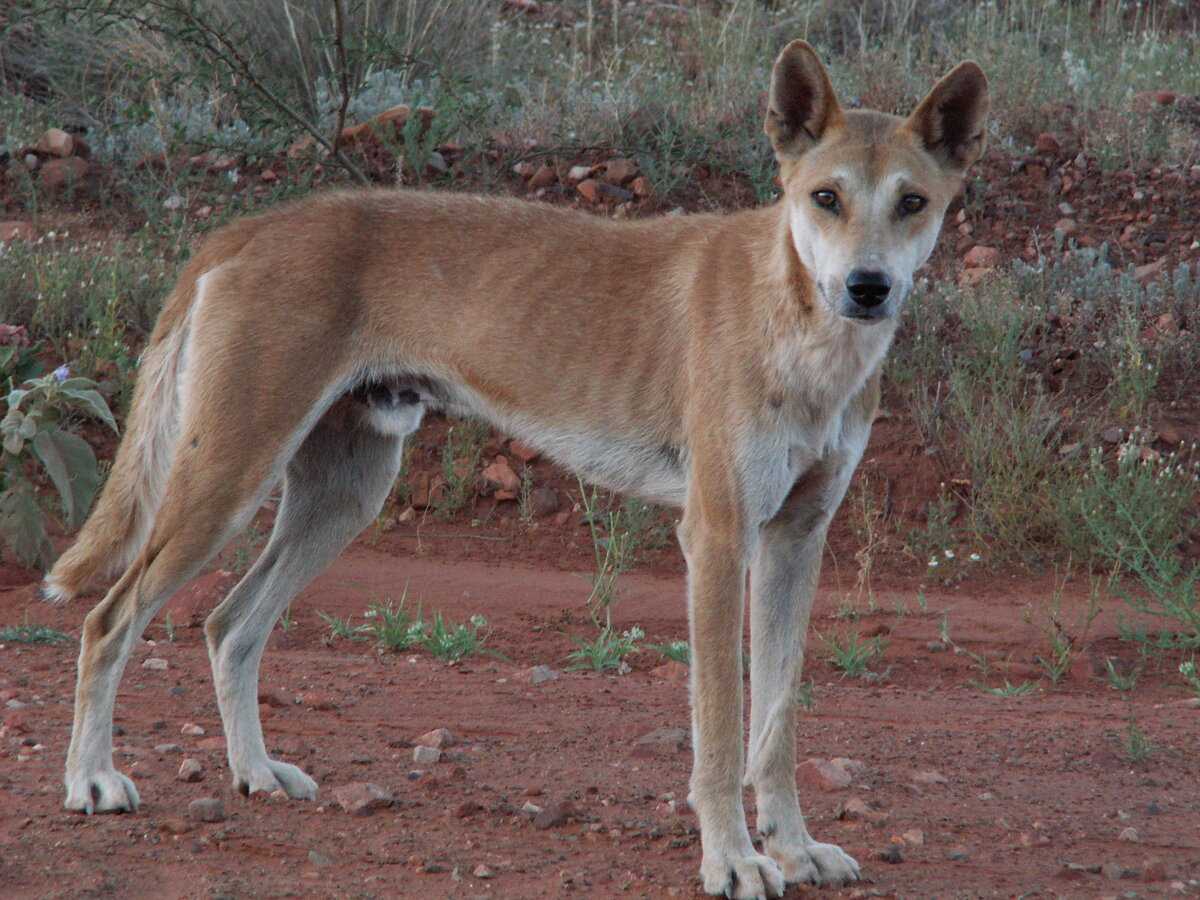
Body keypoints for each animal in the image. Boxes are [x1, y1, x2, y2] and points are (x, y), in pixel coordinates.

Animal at [44, 42, 984, 900]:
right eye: (826, 198)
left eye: (912, 203)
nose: (867, 287)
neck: (801, 329)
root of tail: (246, 228)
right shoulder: (717, 537)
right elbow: (721, 729)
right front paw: (733, 860)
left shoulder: (797, 537)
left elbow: (777, 724)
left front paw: (792, 849)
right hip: (226, 484)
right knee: (109, 620)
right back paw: (90, 779)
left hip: (344, 495)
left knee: (229, 626)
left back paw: (255, 773)